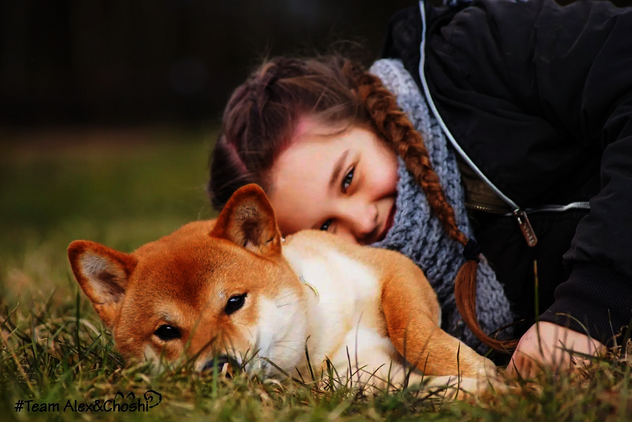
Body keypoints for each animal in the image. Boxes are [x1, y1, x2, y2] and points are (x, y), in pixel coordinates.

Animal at [68, 184, 498, 396]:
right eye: (166, 331)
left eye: (234, 302)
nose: (218, 366)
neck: (321, 338)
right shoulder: (363, 380)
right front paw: (480, 387)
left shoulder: (393, 267)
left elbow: (412, 329)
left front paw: (478, 368)